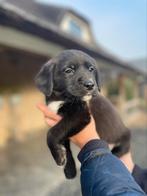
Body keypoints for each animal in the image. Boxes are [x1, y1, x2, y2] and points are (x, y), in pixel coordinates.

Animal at [35, 49, 130, 179]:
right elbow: (64, 144)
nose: (90, 85)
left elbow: (52, 133)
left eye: (91, 69)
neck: (61, 98)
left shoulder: (79, 115)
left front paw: (58, 157)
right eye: (68, 70)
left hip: (123, 139)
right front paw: (69, 169)